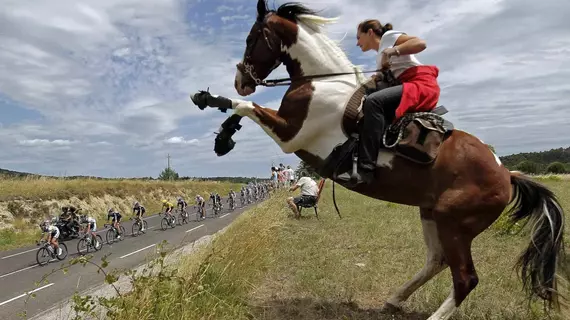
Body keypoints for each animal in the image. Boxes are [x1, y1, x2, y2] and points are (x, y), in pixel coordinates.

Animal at [191, 1, 564, 318]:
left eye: (251, 38)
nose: (241, 81)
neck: (319, 83)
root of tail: (507, 174)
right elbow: (243, 110)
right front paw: (223, 136)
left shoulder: (290, 134)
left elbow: (246, 107)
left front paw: (211, 103)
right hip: (432, 214)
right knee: (437, 261)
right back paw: (395, 298)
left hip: (454, 222)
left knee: (465, 278)